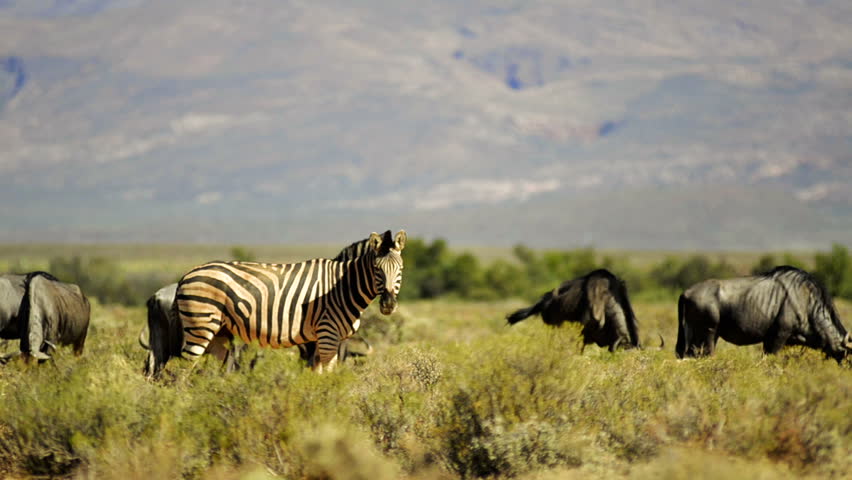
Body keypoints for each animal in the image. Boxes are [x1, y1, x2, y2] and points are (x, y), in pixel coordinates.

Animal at [175, 230, 406, 372]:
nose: (388, 305)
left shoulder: (322, 339)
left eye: (400, 268)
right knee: (181, 369)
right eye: (377, 269)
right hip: (201, 325)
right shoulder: (327, 334)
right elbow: (329, 375)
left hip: (220, 334)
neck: (342, 287)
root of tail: (187, 274)